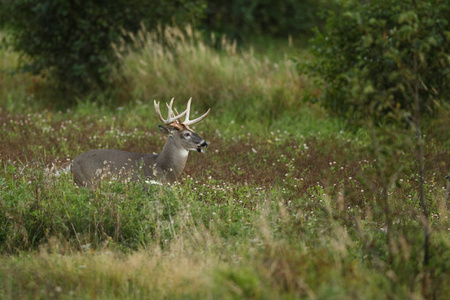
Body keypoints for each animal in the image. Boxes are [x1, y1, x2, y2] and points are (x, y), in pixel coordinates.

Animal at [71, 99, 209, 188]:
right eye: (186, 134)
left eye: (193, 130)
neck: (162, 167)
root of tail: (72, 164)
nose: (205, 143)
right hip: (87, 181)